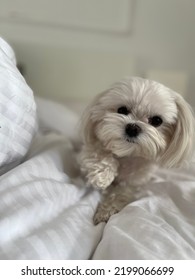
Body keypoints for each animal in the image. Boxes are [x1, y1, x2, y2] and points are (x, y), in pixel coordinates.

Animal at [78, 75, 194, 224]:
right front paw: (102, 175)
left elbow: (121, 193)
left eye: (157, 120)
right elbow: (99, 153)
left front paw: (107, 210)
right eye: (122, 110)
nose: (133, 127)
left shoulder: (133, 182)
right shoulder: (91, 146)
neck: (128, 155)